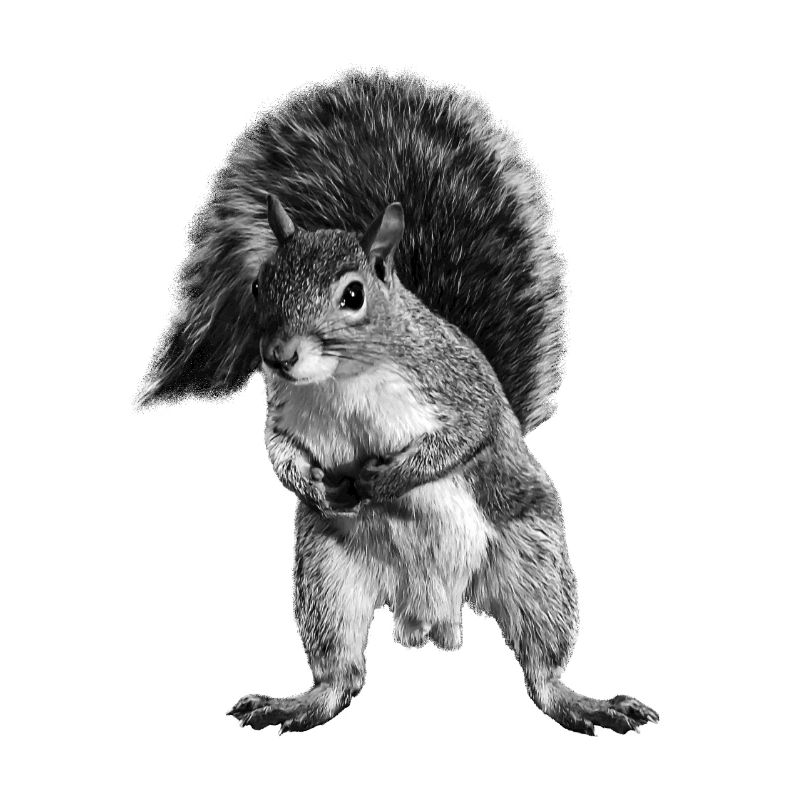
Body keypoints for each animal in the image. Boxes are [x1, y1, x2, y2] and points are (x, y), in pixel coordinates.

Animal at [140, 70, 658, 736]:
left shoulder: (457, 384)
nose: (278, 356)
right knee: (341, 675)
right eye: (260, 284)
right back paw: (298, 702)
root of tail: (430, 612)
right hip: (328, 580)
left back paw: (583, 701)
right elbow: (276, 451)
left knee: (542, 669)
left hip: (535, 564)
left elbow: (464, 434)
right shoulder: (282, 412)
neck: (343, 377)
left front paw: (384, 478)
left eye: (353, 295)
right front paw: (314, 484)